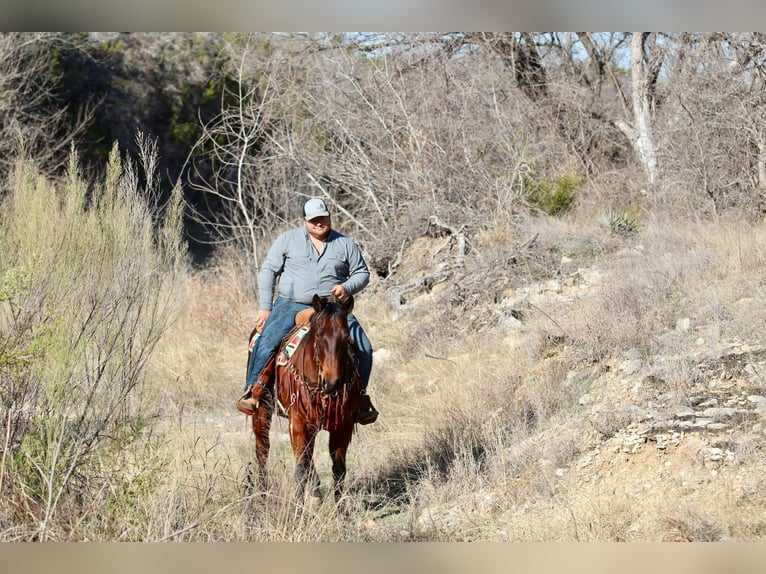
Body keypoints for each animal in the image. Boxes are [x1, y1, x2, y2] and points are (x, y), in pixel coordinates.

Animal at [249, 293, 362, 504]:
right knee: (262, 449)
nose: (332, 383)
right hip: (261, 412)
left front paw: (340, 508)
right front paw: (298, 506)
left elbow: (339, 468)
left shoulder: (343, 424)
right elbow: (301, 467)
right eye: (318, 335)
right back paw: (262, 494)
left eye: (346, 337)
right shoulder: (298, 422)